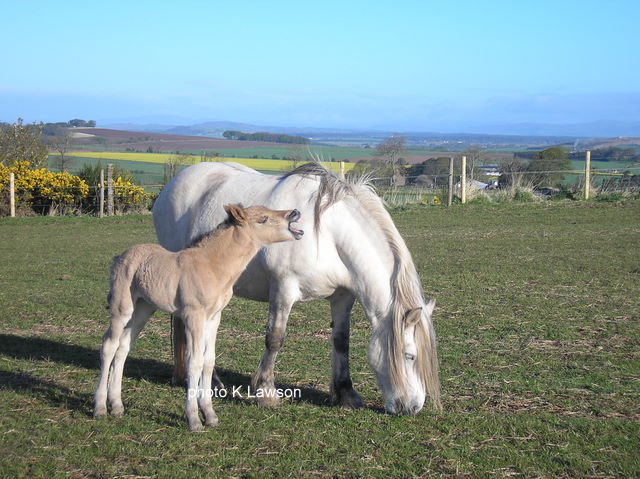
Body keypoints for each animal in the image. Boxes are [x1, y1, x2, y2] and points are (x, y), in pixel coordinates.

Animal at [94, 204, 304, 431]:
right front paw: (193, 419)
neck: (213, 267)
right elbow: (193, 360)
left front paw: (210, 415)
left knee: (123, 346)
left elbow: (208, 360)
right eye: (263, 219)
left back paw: (117, 405)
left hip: (143, 308)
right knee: (109, 345)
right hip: (122, 307)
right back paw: (100, 407)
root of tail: (119, 256)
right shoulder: (193, 315)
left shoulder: (213, 317)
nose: (294, 213)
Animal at [153, 162, 441, 414]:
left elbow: (341, 340)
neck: (327, 234)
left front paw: (346, 394)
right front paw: (266, 393)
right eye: (410, 356)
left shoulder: (343, 296)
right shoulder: (283, 288)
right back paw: (211, 383)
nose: (413, 407)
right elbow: (275, 338)